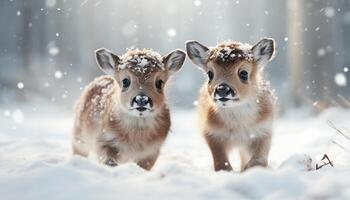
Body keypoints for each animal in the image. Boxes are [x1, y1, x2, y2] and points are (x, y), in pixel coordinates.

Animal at [186, 38, 276, 171]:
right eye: (210, 73)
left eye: (244, 73)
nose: (222, 89)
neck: (237, 122)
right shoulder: (212, 134)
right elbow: (221, 163)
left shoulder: (264, 131)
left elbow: (259, 160)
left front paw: (248, 170)